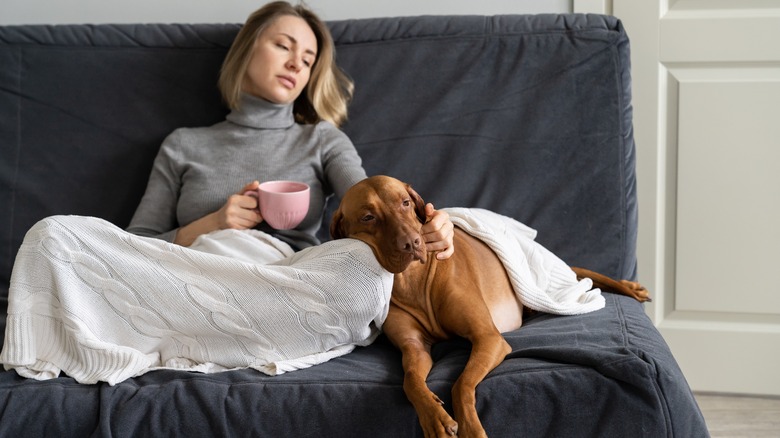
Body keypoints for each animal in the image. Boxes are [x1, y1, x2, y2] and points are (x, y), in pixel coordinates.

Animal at [330, 176, 652, 438]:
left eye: (406, 203)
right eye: (368, 217)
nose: (412, 243)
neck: (414, 281)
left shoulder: (488, 338)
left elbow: (461, 384)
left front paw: (471, 427)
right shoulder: (415, 348)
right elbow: (410, 381)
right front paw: (435, 417)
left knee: (583, 273)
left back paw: (631, 288)